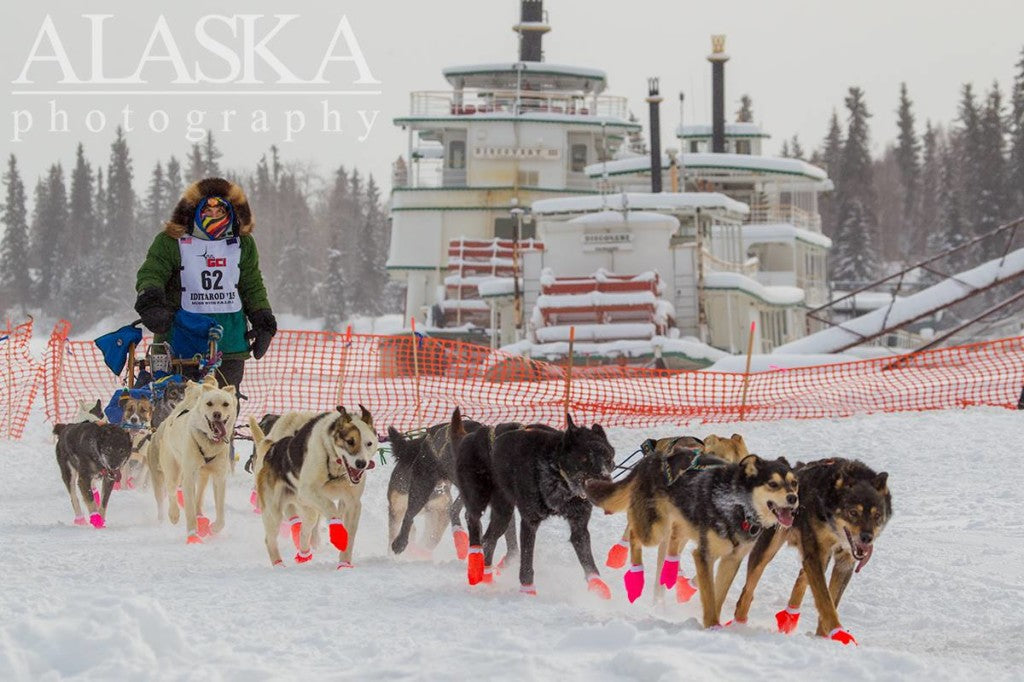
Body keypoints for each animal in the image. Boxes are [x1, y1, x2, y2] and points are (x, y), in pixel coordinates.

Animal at [256, 401, 380, 565]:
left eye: (369, 443)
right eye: (350, 441)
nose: (361, 463)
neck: (335, 468)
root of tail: (273, 449)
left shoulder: (353, 503)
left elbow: (350, 537)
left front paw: (344, 564)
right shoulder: (307, 490)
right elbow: (331, 508)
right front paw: (338, 534)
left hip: (307, 508)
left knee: (305, 528)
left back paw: (303, 553)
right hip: (274, 511)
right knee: (269, 540)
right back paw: (279, 564)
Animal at [458, 411, 614, 593]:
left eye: (608, 458)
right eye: (584, 458)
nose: (605, 482)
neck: (558, 476)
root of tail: (473, 435)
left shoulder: (579, 525)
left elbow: (589, 563)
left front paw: (599, 590)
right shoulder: (530, 522)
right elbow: (526, 562)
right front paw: (528, 591)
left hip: (503, 513)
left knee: (489, 540)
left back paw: (486, 576)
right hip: (479, 498)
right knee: (472, 520)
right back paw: (475, 559)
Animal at [585, 448, 798, 622]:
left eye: (794, 483)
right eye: (773, 484)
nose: (793, 498)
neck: (738, 505)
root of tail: (652, 457)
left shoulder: (732, 559)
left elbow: (718, 595)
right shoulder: (704, 555)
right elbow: (709, 596)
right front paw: (712, 626)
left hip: (678, 524)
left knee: (669, 549)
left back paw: (668, 578)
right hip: (654, 528)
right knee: (633, 531)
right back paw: (635, 577)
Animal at [733, 456, 892, 643]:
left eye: (877, 515)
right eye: (853, 512)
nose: (867, 538)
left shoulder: (843, 562)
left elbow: (831, 599)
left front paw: (823, 637)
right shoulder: (815, 554)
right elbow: (825, 600)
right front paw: (838, 632)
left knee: (802, 576)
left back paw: (789, 617)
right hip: (769, 548)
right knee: (748, 588)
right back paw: (739, 623)